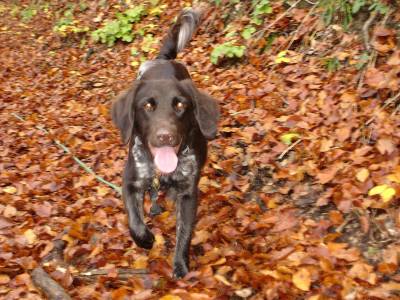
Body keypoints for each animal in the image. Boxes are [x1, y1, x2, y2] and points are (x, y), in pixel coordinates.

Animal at [111, 7, 220, 278]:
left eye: (180, 105)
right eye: (147, 106)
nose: (165, 136)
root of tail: (163, 60)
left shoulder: (189, 193)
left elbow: (185, 232)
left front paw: (181, 264)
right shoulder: (130, 181)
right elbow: (134, 221)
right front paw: (146, 239)